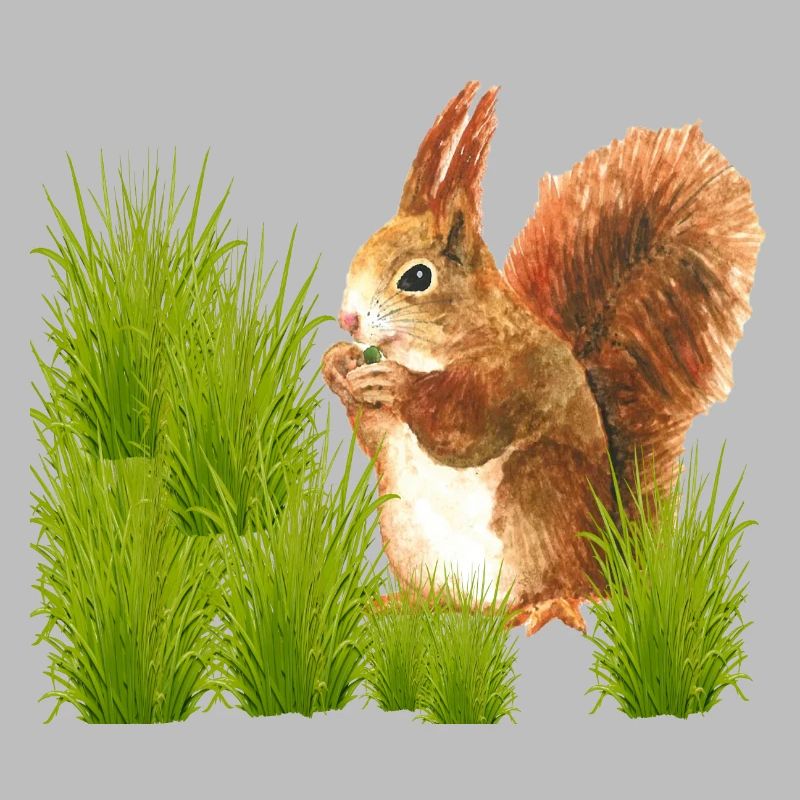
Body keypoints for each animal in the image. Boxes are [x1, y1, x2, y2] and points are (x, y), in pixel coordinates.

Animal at [321, 80, 763, 635]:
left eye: (417, 277)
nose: (348, 320)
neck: (437, 347)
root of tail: (609, 563)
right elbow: (376, 436)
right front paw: (339, 366)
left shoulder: (518, 375)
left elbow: (464, 425)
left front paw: (396, 383)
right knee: (447, 601)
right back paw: (406, 604)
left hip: (538, 493)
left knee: (560, 588)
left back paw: (543, 606)